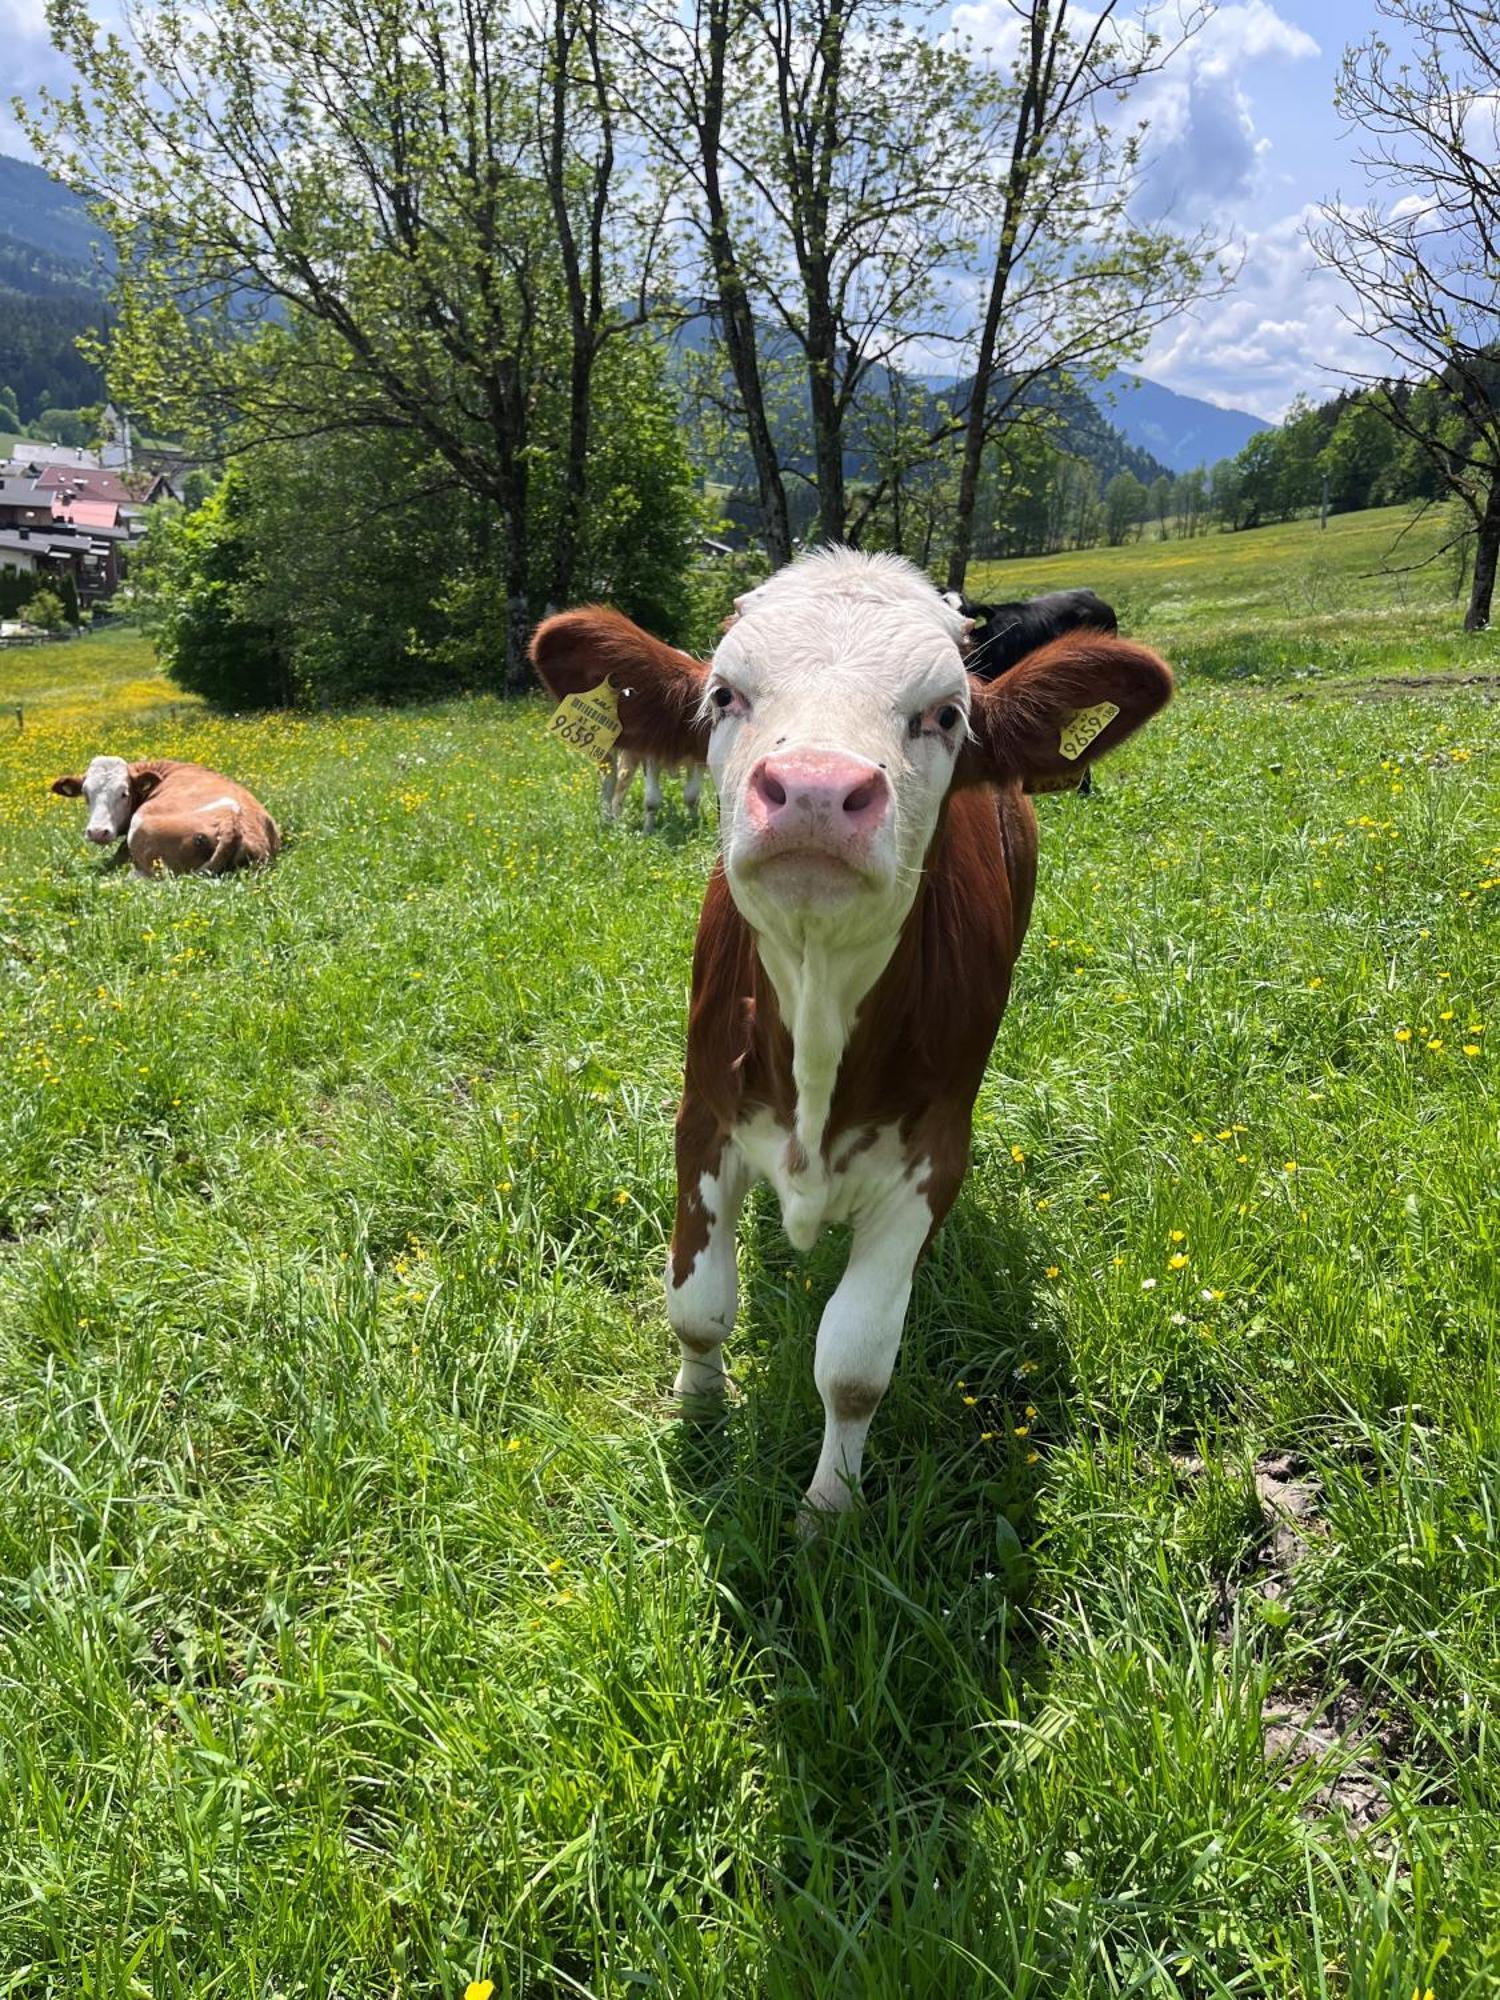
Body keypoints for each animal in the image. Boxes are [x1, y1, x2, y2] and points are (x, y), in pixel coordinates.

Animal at [536, 548, 1184, 1512]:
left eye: (945, 713)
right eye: (724, 694)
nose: (812, 789)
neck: (814, 1000)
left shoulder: (932, 1153)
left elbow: (853, 1364)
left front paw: (828, 1510)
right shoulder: (703, 1115)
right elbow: (699, 1306)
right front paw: (697, 1419)